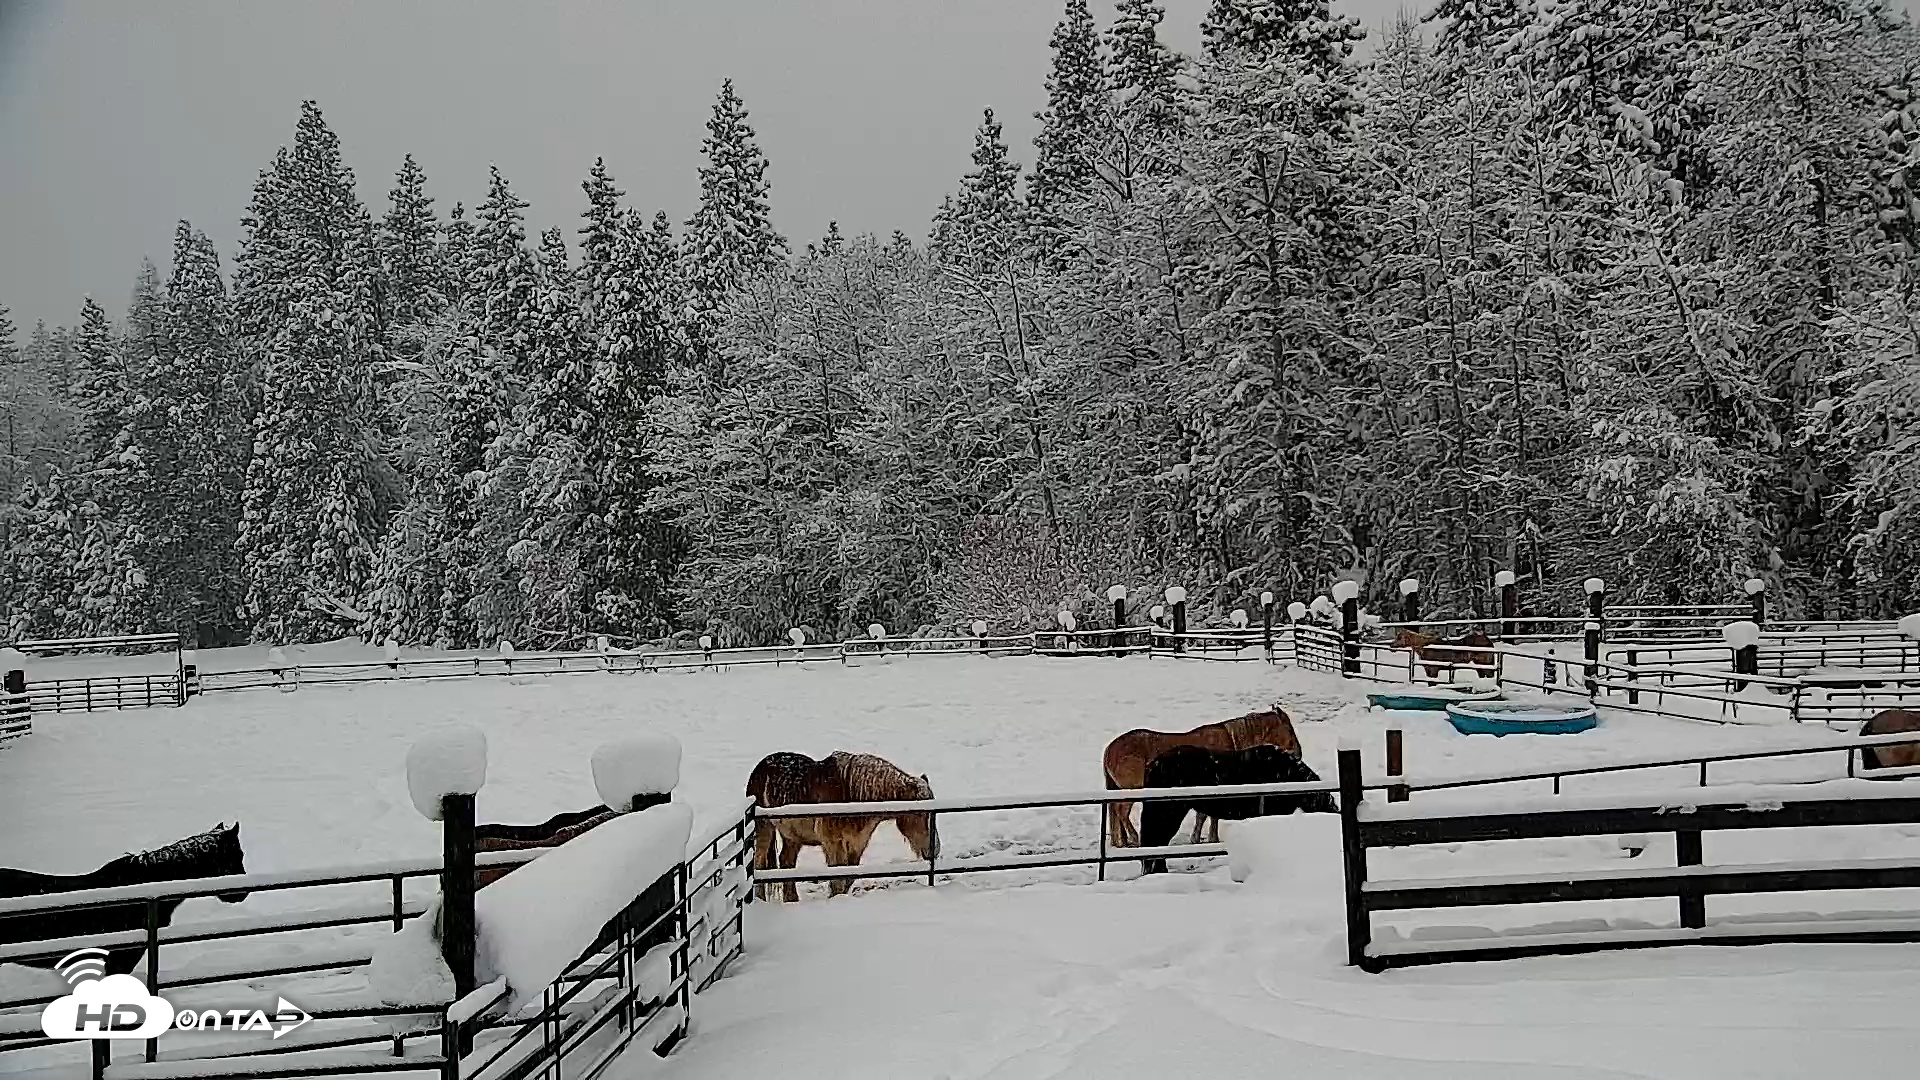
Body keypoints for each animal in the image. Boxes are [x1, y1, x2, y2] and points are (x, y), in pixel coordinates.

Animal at [746, 751, 937, 902]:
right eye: (921, 813)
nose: (934, 850)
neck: (849, 792)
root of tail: (761, 767)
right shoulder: (832, 843)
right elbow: (838, 878)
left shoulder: (857, 842)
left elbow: (848, 877)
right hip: (764, 828)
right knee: (759, 863)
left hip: (792, 836)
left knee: (786, 861)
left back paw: (791, 900)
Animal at [1102, 706, 1301, 849]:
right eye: (1289, 729)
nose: (1298, 754)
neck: (1231, 740)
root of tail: (1110, 749)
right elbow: (1208, 816)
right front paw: (1210, 838)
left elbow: (1203, 816)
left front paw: (1198, 838)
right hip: (1132, 789)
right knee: (1121, 812)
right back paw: (1134, 839)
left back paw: (1121, 841)